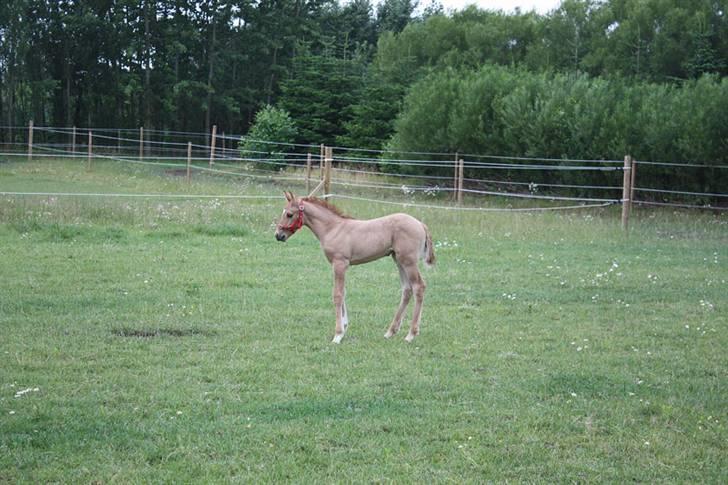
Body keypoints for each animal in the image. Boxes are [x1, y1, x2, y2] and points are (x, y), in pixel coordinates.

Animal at [272, 191, 432, 342]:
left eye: (289, 214)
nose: (278, 235)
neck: (332, 228)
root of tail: (421, 224)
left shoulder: (340, 263)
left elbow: (337, 294)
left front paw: (338, 335)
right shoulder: (341, 265)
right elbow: (343, 292)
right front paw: (344, 326)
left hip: (408, 262)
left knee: (419, 286)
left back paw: (411, 334)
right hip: (399, 260)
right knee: (407, 289)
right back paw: (390, 332)